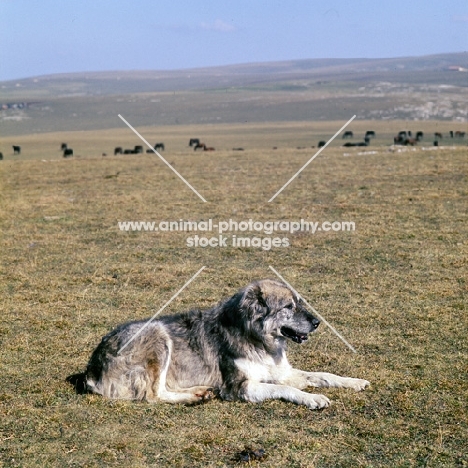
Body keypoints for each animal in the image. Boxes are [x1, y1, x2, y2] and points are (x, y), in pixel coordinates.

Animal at [68, 280, 370, 408]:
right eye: (288, 307)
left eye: (300, 303)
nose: (318, 322)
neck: (259, 341)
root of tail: (91, 369)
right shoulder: (240, 387)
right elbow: (287, 389)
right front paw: (313, 398)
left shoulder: (282, 372)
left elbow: (323, 375)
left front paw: (354, 382)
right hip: (157, 335)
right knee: (154, 395)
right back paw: (194, 396)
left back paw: (200, 392)